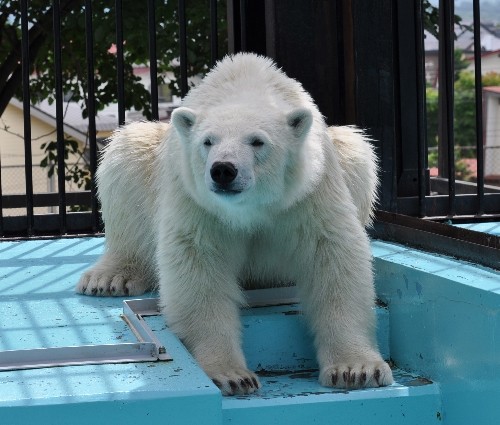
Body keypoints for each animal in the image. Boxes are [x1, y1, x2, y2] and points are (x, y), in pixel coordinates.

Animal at [76, 52, 392, 394]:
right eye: (207, 141)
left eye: (257, 142)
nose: (223, 170)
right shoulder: (195, 197)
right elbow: (198, 266)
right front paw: (231, 374)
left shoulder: (309, 190)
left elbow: (333, 256)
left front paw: (356, 369)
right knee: (127, 155)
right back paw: (111, 277)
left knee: (357, 150)